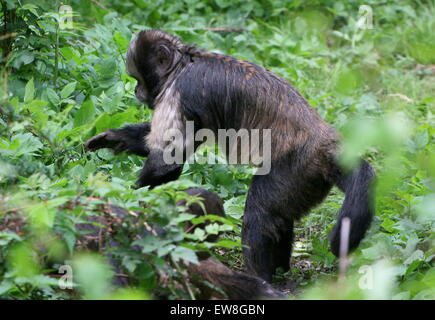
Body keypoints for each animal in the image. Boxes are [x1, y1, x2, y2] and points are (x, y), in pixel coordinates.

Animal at [84, 29, 374, 280]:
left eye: (137, 79)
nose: (136, 90)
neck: (184, 64)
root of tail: (324, 142)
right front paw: (116, 139)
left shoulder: (180, 91)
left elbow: (168, 161)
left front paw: (129, 202)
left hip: (296, 167)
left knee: (260, 211)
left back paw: (261, 278)